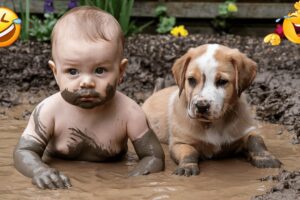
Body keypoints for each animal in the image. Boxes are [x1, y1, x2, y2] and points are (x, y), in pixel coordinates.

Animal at [142, 44, 282, 177]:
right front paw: (187, 166)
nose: (201, 106)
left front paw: (266, 158)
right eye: (191, 80)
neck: (213, 123)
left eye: (222, 81)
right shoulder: (179, 142)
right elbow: (189, 152)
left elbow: (256, 140)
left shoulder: (246, 131)